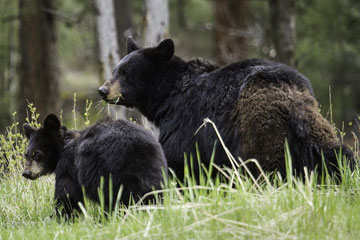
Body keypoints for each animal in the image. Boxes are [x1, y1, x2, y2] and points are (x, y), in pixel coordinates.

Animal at [23, 114, 167, 218]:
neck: (63, 145)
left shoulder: (69, 166)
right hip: (154, 168)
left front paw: (59, 217)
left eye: (37, 154)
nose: (26, 173)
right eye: (26, 154)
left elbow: (68, 194)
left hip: (109, 171)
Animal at [98, 37, 354, 180]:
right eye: (115, 69)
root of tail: (293, 103)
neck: (167, 96)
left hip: (259, 129)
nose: (102, 90)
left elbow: (178, 159)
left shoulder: (186, 122)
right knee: (338, 155)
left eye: (127, 73)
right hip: (317, 132)